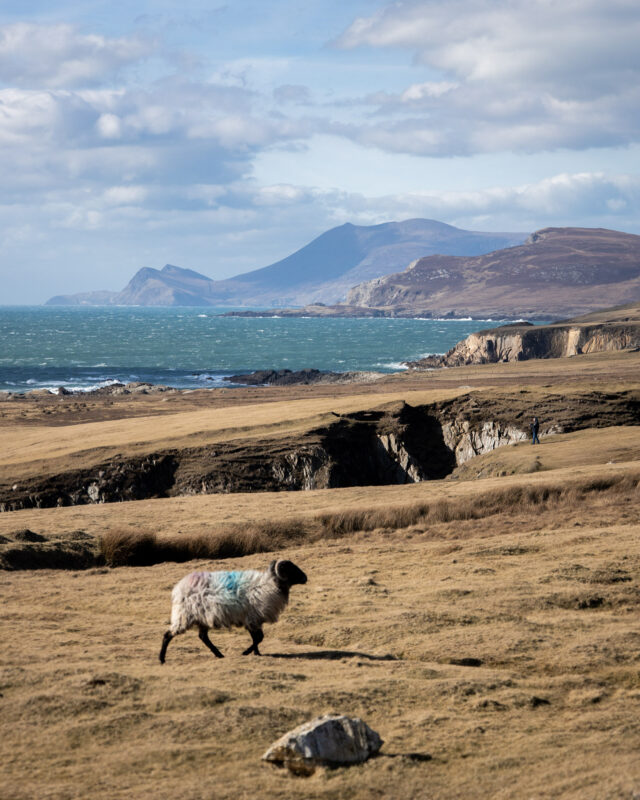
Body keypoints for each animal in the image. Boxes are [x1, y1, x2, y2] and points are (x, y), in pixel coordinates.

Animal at [161, 556, 308, 664]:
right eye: (291, 569)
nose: (305, 578)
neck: (270, 584)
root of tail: (178, 588)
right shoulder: (252, 618)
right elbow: (259, 638)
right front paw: (246, 652)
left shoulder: (252, 619)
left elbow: (256, 638)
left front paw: (257, 653)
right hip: (184, 616)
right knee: (168, 635)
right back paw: (162, 659)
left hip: (202, 617)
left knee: (203, 637)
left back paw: (219, 654)